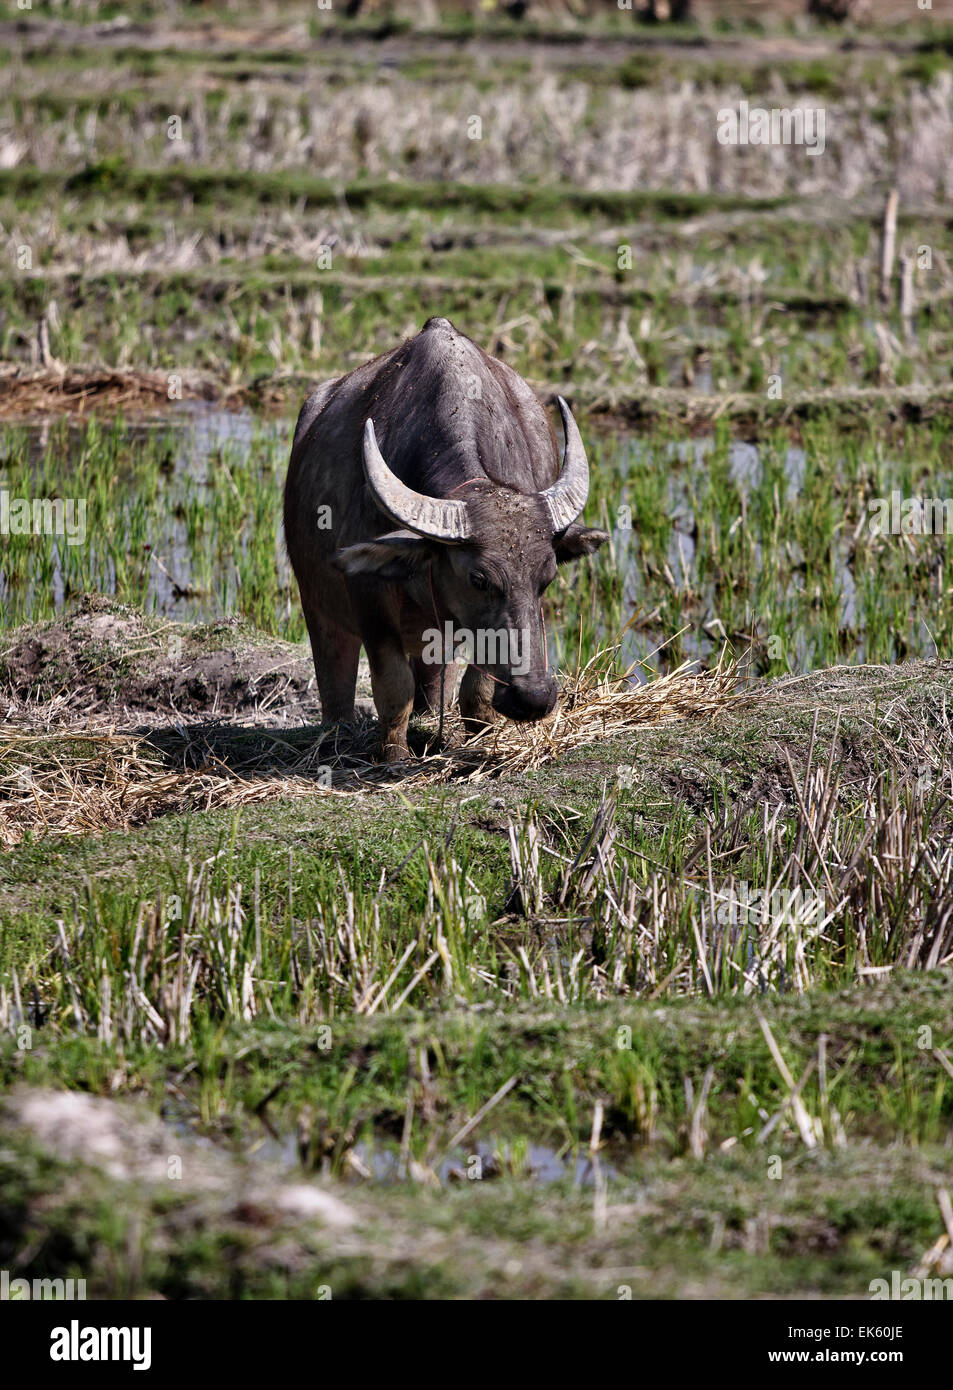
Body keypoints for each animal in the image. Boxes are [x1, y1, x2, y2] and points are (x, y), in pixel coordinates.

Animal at [287, 318, 608, 761]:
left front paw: (481, 734)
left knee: (435, 678)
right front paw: (394, 755)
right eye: (479, 579)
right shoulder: (369, 598)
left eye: (547, 579)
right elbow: (393, 686)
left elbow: (478, 686)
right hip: (318, 608)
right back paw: (336, 732)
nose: (535, 699)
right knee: (335, 675)